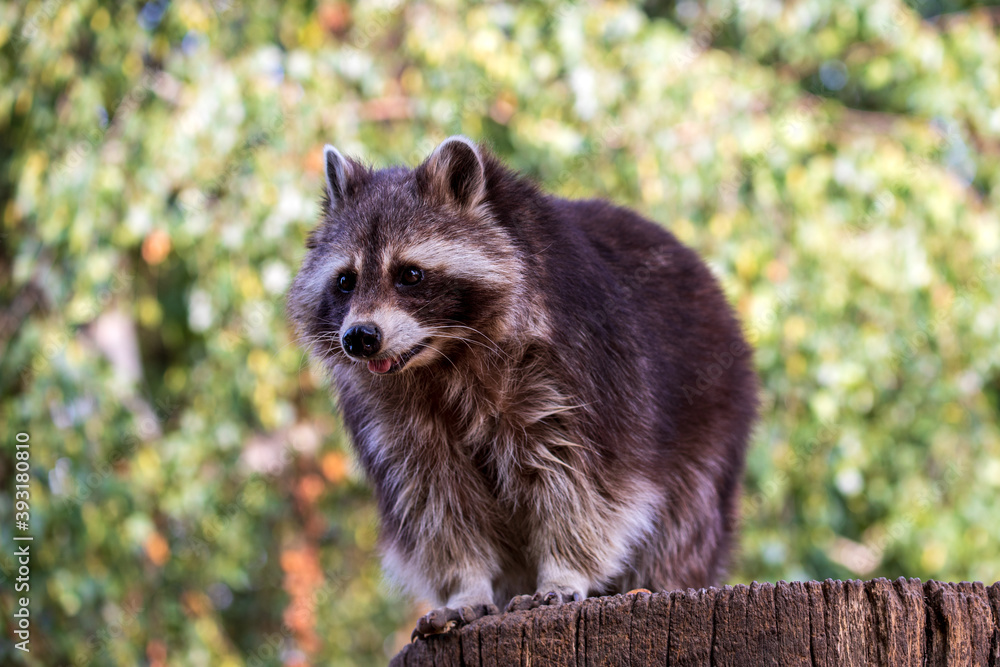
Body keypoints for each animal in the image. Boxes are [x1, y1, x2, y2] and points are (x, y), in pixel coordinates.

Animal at [287, 136, 758, 638]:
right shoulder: (393, 422)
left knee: (682, 523)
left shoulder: (578, 374)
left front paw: (564, 571)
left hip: (713, 416)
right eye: (345, 281)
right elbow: (436, 504)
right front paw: (466, 586)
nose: (360, 338)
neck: (441, 358)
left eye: (409, 274)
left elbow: (584, 485)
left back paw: (655, 583)